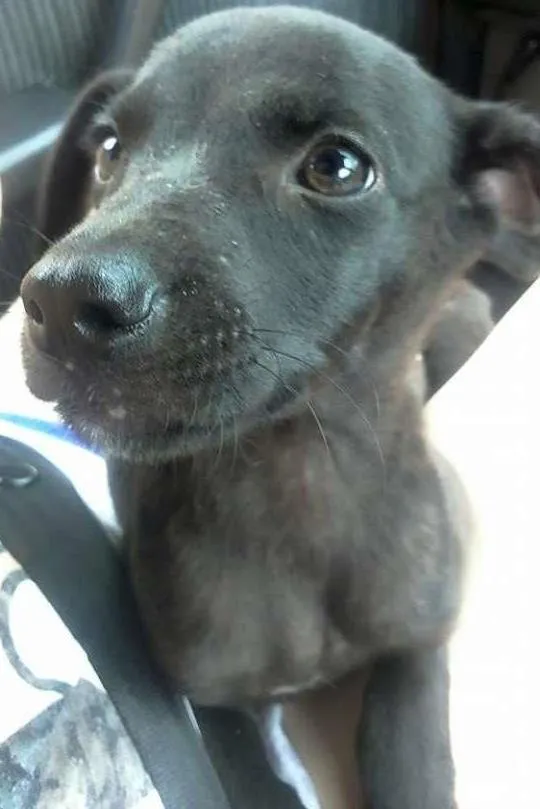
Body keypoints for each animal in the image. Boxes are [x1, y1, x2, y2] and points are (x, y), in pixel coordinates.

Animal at [16, 6, 540, 807]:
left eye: (338, 167)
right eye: (108, 150)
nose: (62, 302)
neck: (300, 478)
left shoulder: (419, 646)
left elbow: (413, 764)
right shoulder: (210, 701)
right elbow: (253, 776)